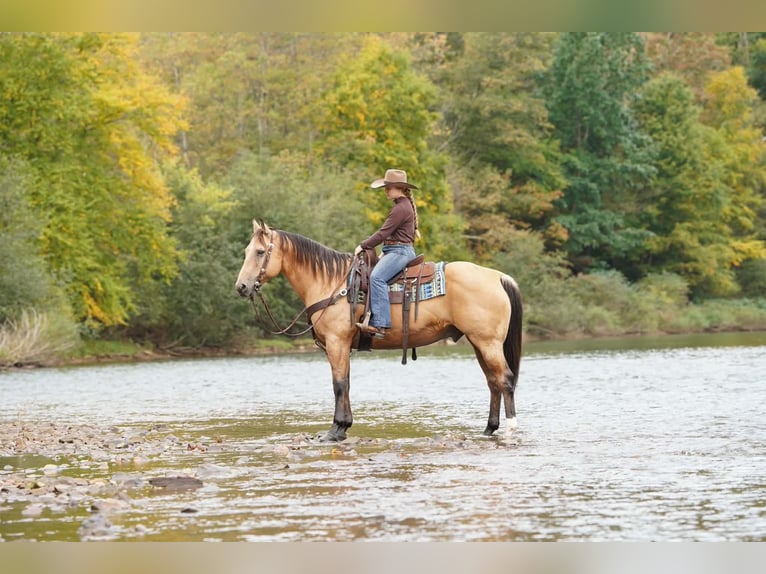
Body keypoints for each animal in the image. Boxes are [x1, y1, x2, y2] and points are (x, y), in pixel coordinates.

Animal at [235, 220, 523, 442]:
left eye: (259, 252)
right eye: (247, 250)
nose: (241, 287)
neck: (331, 283)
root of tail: (497, 276)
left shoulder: (337, 342)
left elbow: (339, 385)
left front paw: (334, 431)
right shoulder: (341, 346)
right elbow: (346, 383)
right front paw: (343, 428)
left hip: (487, 342)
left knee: (505, 379)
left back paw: (510, 429)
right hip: (479, 343)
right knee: (493, 382)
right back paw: (488, 429)